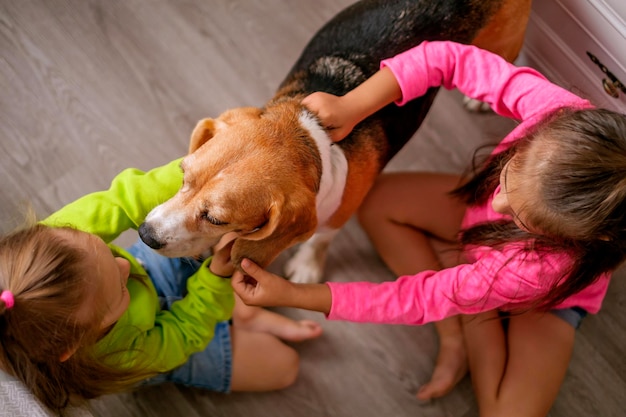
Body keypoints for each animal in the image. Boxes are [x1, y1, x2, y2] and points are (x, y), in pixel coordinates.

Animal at [140, 0, 532, 282]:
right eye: (183, 173)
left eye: (217, 219)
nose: (146, 234)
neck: (309, 136)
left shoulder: (339, 212)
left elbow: (321, 238)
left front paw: (308, 266)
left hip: (503, 45)